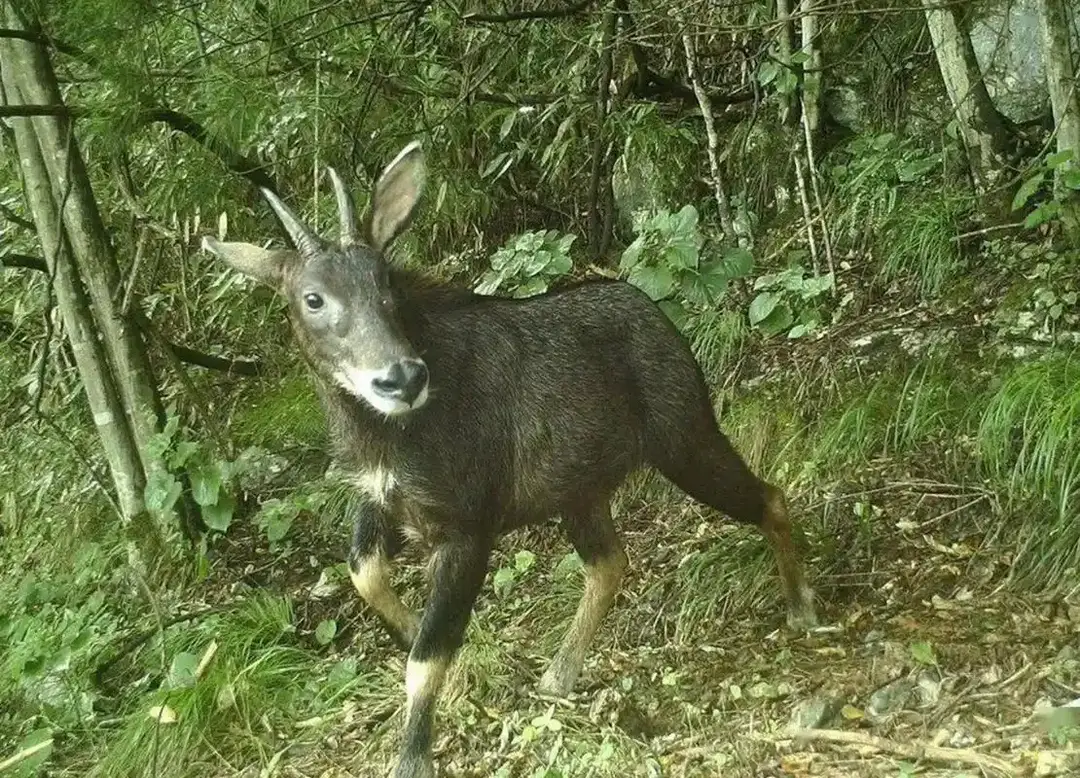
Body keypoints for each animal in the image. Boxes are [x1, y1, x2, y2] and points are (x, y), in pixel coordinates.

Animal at [200, 141, 816, 778]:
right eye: (313, 298)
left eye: (386, 283)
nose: (401, 378)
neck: (386, 435)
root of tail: (654, 311)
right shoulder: (384, 499)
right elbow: (364, 576)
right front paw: (414, 635)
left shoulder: (471, 523)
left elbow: (426, 659)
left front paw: (413, 756)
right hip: (581, 489)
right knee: (610, 561)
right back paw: (559, 675)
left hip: (685, 437)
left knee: (769, 496)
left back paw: (802, 608)